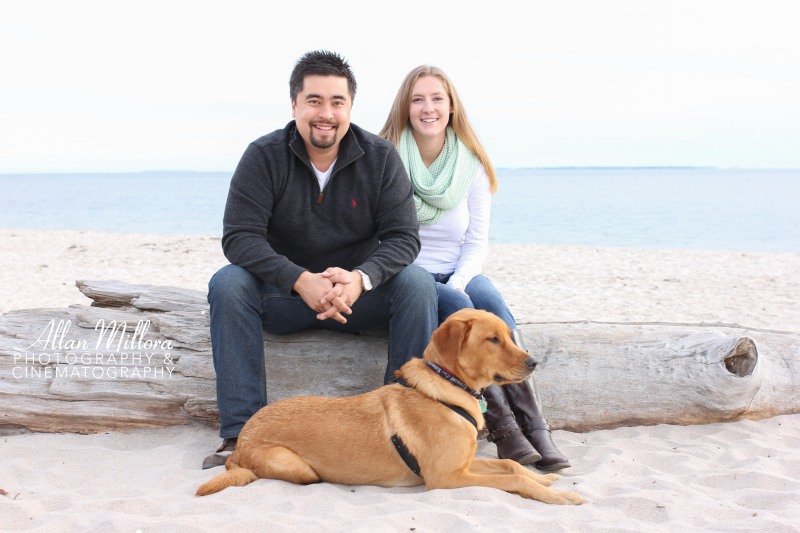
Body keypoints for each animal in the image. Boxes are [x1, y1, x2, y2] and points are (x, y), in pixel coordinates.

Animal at [197, 308, 584, 502]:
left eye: (507, 335)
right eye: (492, 339)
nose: (534, 362)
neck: (448, 387)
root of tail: (240, 443)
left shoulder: (463, 465)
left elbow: (510, 465)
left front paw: (548, 481)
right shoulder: (446, 477)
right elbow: (513, 479)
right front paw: (560, 497)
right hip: (295, 466)